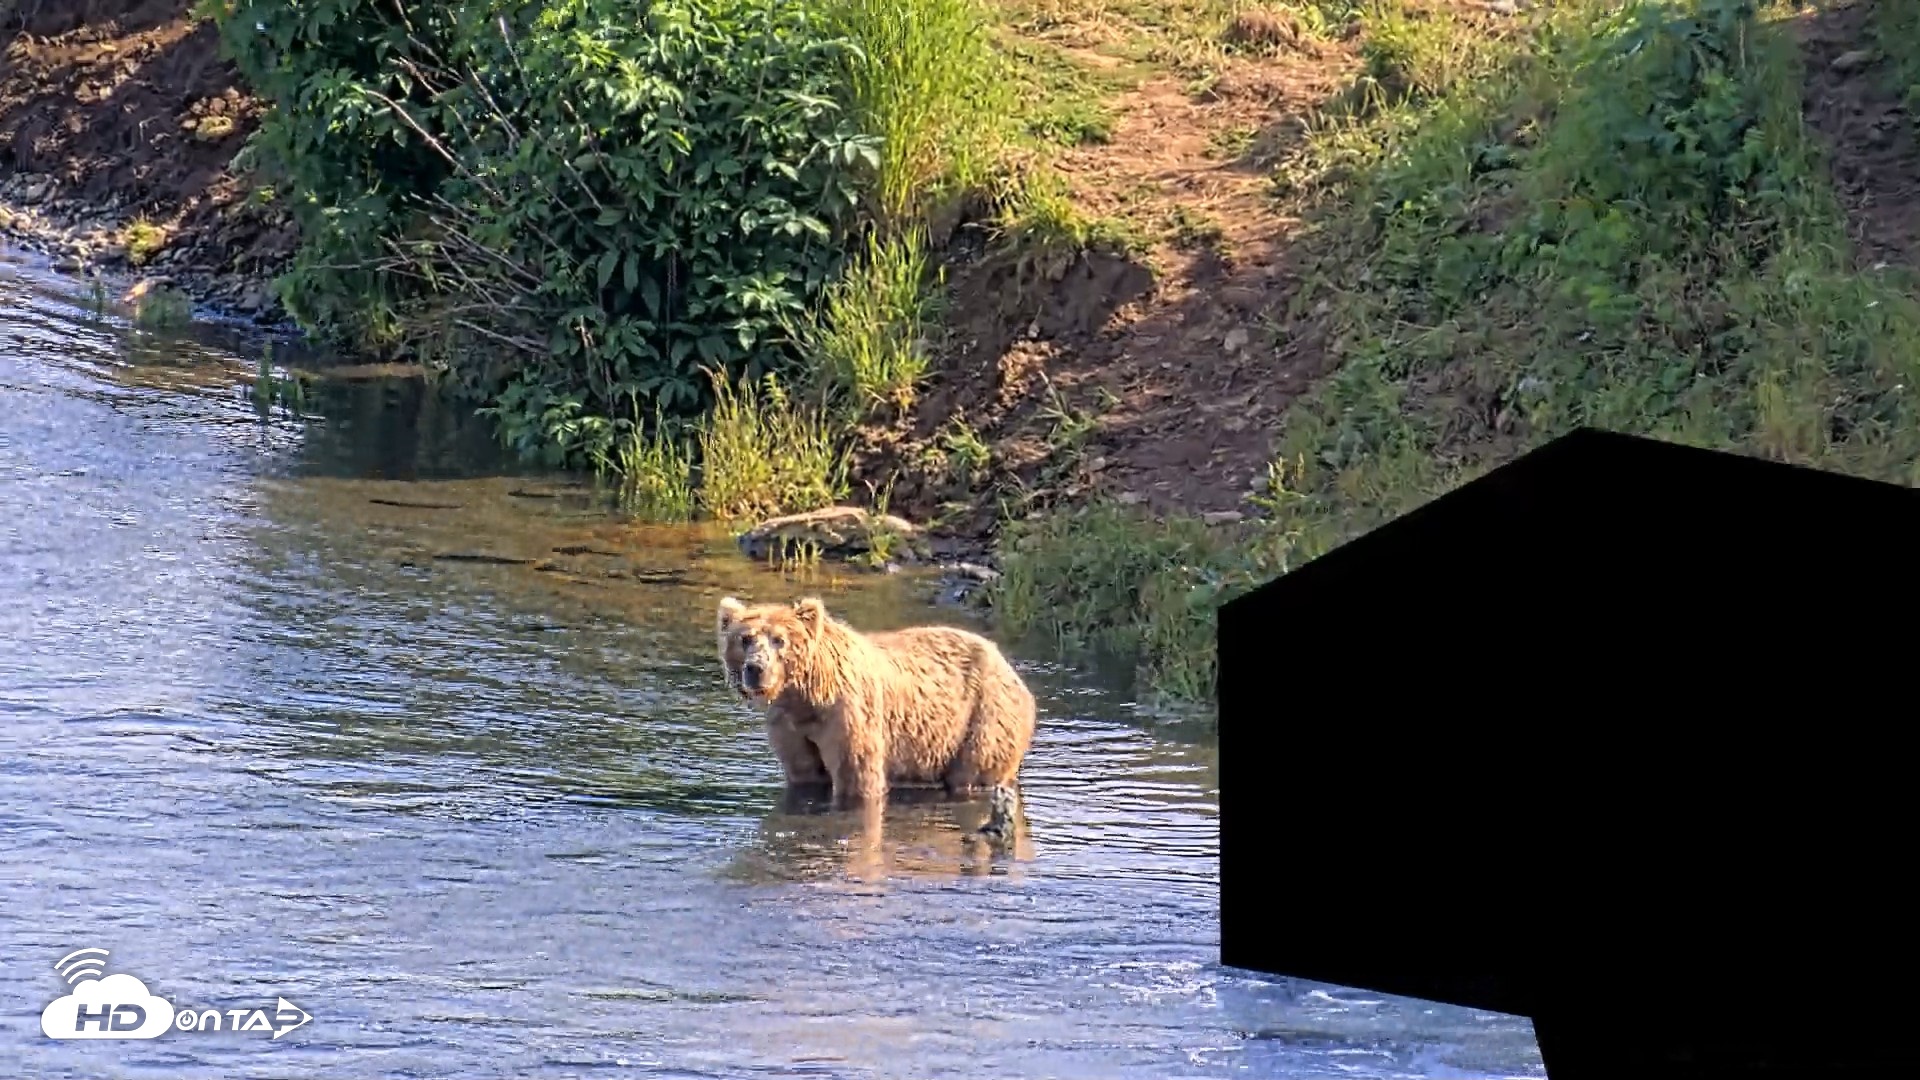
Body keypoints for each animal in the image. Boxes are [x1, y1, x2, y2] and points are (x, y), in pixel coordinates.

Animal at [715, 594, 1037, 809]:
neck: (807, 696)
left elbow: (857, 775)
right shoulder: (790, 725)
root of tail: (1008, 666)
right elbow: (805, 773)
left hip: (985, 716)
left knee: (974, 772)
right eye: (745, 639)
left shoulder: (848, 713)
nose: (756, 668)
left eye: (779, 640)